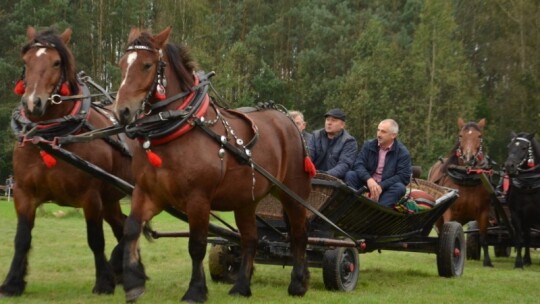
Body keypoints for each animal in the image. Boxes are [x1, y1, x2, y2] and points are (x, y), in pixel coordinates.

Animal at [0, 26, 139, 296]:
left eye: (56, 62)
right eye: (26, 61)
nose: (33, 103)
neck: (49, 136)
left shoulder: (90, 196)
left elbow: (95, 239)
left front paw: (103, 282)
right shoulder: (23, 193)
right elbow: (21, 239)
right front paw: (12, 283)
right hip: (111, 197)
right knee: (123, 226)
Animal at [112, 27, 310, 302]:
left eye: (147, 65)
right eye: (121, 64)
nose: (122, 112)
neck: (176, 130)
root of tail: (288, 119)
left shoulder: (198, 199)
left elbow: (196, 245)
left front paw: (195, 290)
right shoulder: (150, 193)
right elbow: (131, 228)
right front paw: (133, 283)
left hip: (292, 192)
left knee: (300, 235)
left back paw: (298, 284)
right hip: (245, 200)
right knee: (250, 239)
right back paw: (241, 286)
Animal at [430, 117, 494, 268]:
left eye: (479, 136)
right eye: (460, 136)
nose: (468, 158)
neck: (466, 177)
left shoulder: (484, 212)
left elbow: (484, 238)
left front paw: (487, 261)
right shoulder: (449, 211)